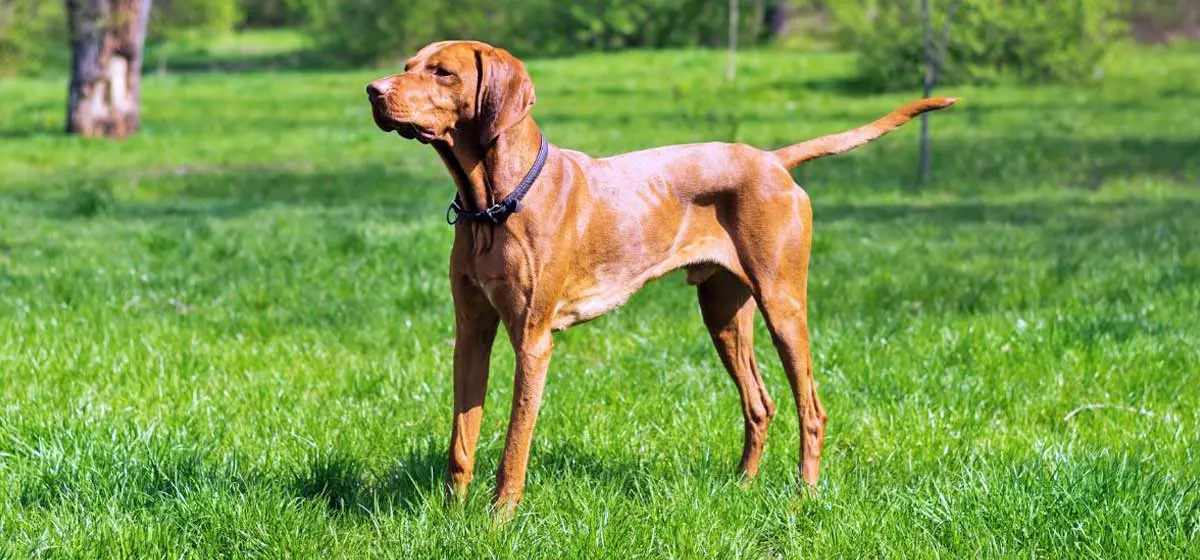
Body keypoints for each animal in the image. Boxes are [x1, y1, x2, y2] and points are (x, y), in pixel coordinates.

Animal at [364, 38, 955, 513]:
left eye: (443, 72)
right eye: (408, 65)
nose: (372, 90)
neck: (492, 204)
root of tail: (771, 159)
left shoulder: (532, 340)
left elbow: (514, 442)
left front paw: (499, 518)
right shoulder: (472, 333)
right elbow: (461, 438)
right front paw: (450, 515)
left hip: (783, 304)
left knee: (811, 408)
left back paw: (802, 496)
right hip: (723, 313)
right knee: (759, 403)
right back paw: (742, 486)